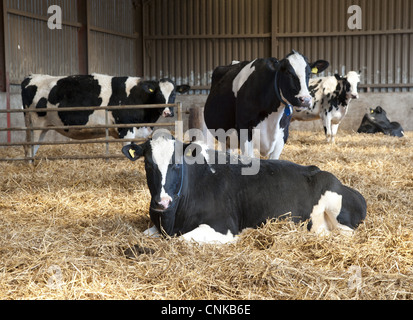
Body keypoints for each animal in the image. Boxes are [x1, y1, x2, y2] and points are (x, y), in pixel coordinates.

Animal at [20, 72, 190, 158]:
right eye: (159, 93)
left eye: (174, 93)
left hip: (42, 127)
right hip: (34, 125)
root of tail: (31, 77)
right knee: (29, 147)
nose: (168, 112)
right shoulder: (126, 129)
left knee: (32, 147)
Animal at [120, 134, 366, 244]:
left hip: (336, 210)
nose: (162, 202)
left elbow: (181, 240)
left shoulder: (223, 227)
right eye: (147, 164)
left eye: (177, 164)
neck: (171, 220)